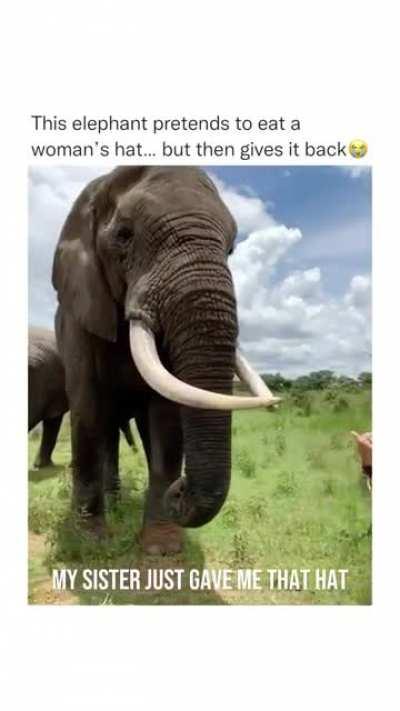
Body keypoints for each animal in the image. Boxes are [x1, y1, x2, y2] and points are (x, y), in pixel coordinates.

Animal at [52, 166, 278, 554]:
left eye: (231, 249)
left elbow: (166, 419)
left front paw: (162, 547)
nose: (180, 490)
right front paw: (90, 542)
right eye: (124, 236)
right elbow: (87, 407)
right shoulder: (80, 312)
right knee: (105, 426)